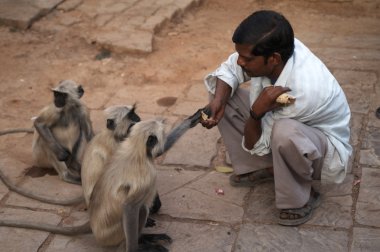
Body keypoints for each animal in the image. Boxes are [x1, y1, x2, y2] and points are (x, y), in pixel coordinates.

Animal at [0, 109, 205, 252]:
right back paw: (141, 240)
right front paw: (134, 248)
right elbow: (130, 207)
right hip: (112, 234)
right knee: (140, 209)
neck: (136, 150)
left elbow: (160, 151)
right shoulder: (147, 173)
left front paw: (194, 118)